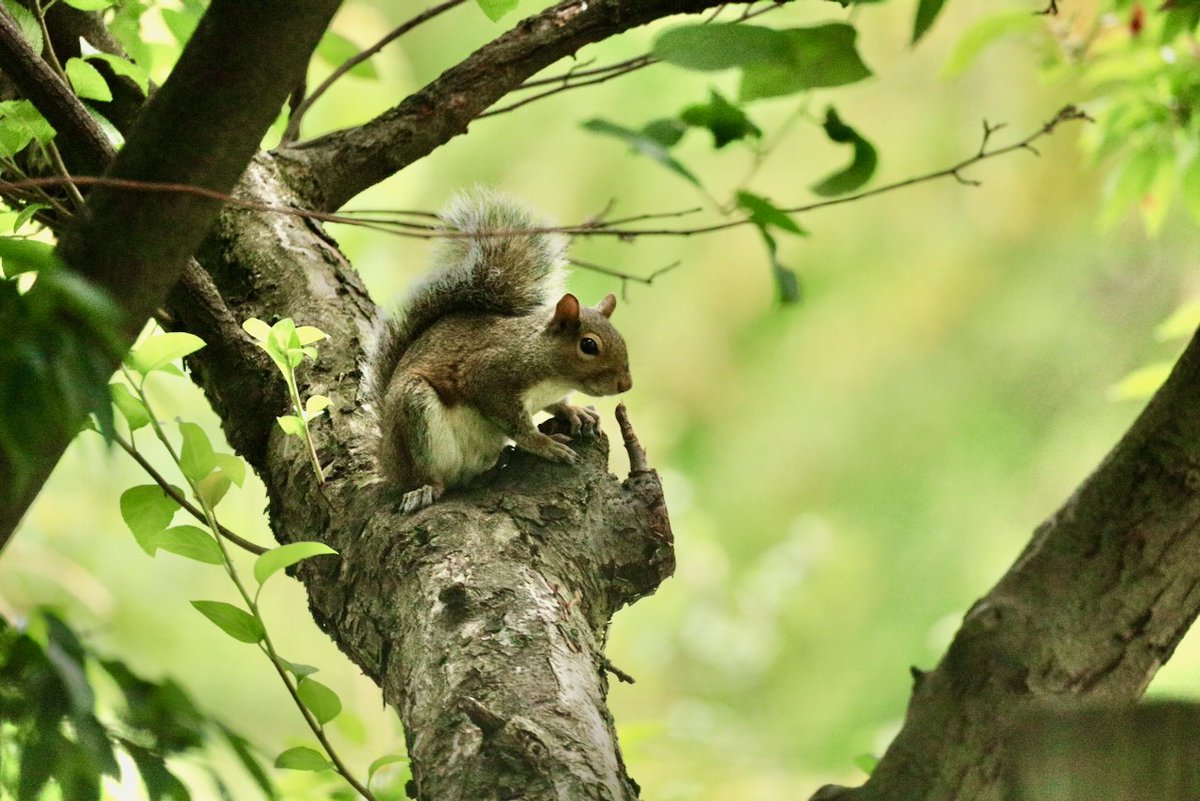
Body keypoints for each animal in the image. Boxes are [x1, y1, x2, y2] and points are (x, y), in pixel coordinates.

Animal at [362, 189, 633, 513]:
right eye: (589, 345)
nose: (626, 384)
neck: (552, 374)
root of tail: (388, 459)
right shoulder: (490, 375)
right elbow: (518, 426)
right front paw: (544, 444)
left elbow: (558, 406)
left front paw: (576, 411)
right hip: (414, 412)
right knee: (431, 474)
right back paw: (426, 488)